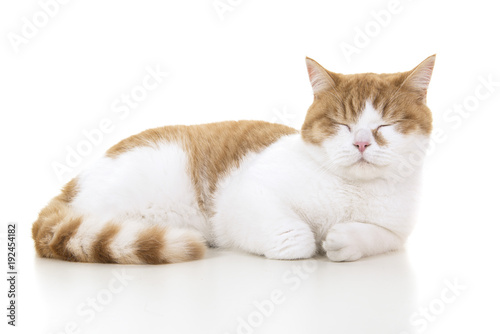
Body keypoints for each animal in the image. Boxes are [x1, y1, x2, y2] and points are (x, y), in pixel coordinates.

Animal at [33, 54, 436, 264]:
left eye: (386, 123)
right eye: (341, 123)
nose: (362, 143)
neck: (353, 191)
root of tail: (71, 185)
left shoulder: (398, 232)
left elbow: (378, 237)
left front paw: (345, 238)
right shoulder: (243, 200)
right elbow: (297, 238)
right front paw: (311, 240)